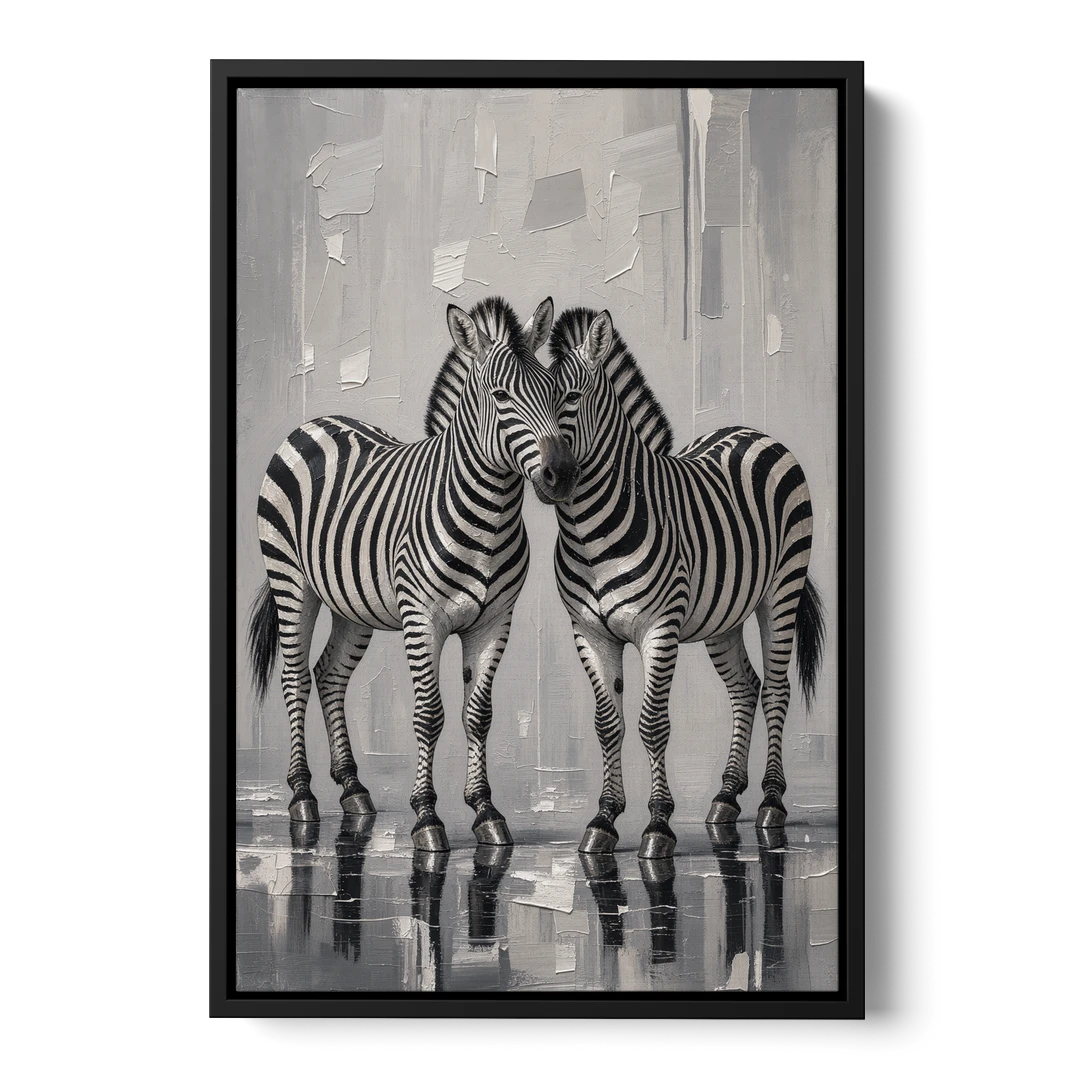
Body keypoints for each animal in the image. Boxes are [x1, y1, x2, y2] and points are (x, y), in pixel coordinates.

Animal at [247, 296, 579, 852]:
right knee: (294, 678)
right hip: (292, 581)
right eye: (501, 396)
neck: (489, 515)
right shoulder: (423, 619)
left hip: (352, 602)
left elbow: (478, 714)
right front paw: (426, 816)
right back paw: (302, 796)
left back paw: (353, 788)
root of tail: (316, 421)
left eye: (555, 394)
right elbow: (429, 714)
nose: (562, 475)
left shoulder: (494, 621)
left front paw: (485, 811)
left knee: (329, 673)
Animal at [542, 307, 826, 859]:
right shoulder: (589, 630)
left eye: (572, 397)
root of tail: (752, 431)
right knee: (745, 686)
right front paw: (604, 819)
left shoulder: (660, 627)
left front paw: (657, 825)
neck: (590, 532)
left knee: (776, 688)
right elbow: (608, 724)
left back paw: (771, 802)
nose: (553, 478)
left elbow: (653, 724)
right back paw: (726, 796)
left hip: (781, 590)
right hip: (724, 615)